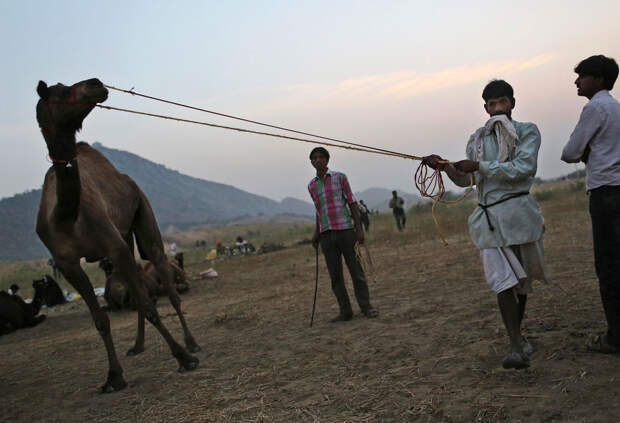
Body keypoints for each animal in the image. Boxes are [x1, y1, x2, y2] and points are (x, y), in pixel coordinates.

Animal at [35, 78, 200, 394]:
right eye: (60, 92)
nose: (96, 84)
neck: (66, 218)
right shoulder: (67, 263)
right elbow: (100, 319)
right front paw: (113, 377)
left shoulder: (113, 247)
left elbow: (149, 304)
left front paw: (183, 358)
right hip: (124, 237)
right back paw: (137, 345)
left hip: (142, 216)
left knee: (163, 277)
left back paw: (191, 343)